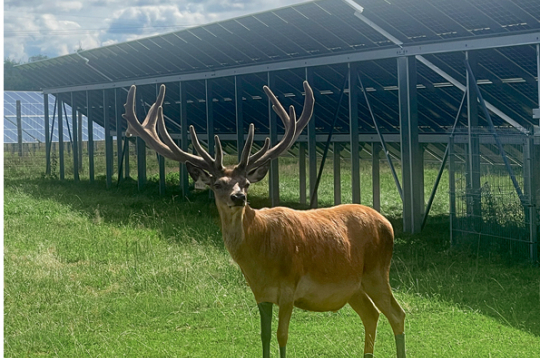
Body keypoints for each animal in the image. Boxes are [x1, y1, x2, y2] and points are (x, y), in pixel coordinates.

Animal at [123, 81, 404, 358]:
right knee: (371, 314)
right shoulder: (260, 294)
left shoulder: (290, 287)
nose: (239, 197)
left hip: (377, 271)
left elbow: (282, 336)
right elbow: (264, 336)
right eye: (217, 184)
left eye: (246, 183)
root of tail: (388, 225)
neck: (261, 257)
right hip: (355, 286)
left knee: (396, 314)